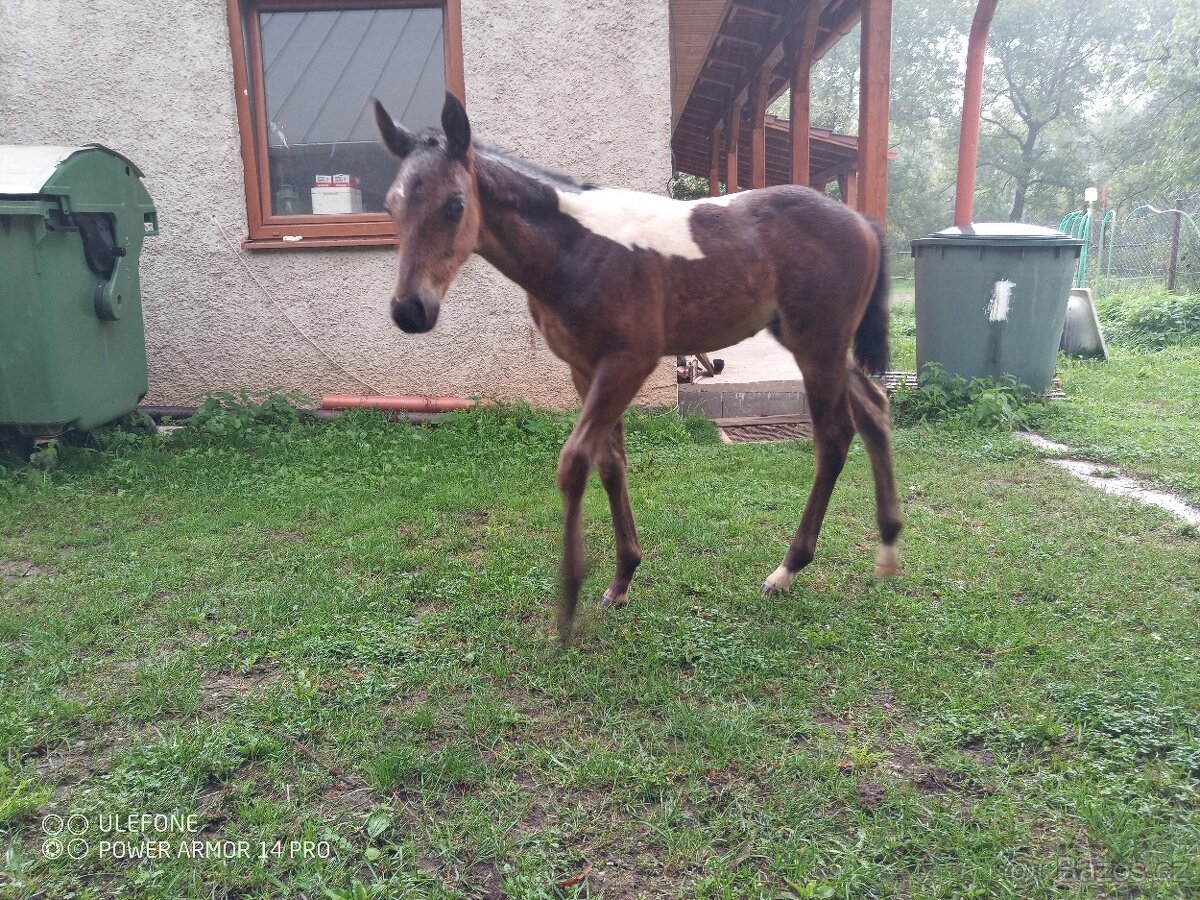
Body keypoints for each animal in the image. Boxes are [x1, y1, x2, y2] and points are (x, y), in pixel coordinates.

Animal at [374, 93, 901, 645]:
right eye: (390, 205)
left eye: (455, 204)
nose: (410, 310)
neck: (576, 249)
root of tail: (863, 221)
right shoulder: (584, 369)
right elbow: (611, 464)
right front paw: (621, 580)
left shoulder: (629, 362)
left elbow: (574, 461)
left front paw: (568, 607)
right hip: (817, 345)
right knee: (873, 408)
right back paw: (887, 550)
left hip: (817, 345)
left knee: (834, 437)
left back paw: (787, 569)